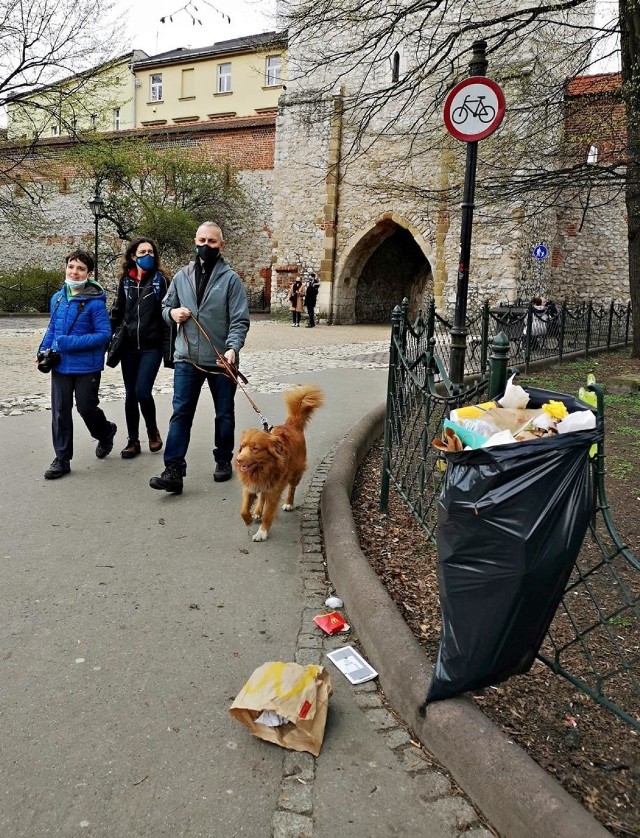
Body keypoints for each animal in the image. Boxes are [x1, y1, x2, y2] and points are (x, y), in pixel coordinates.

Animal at [236, 388, 324, 544]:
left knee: (292, 488)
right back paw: (257, 511)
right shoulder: (250, 486)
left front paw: (262, 532)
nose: (238, 460)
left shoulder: (274, 490)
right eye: (243, 446)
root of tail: (291, 425)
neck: (262, 469)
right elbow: (243, 510)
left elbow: (268, 513)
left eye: (255, 448)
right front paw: (249, 520)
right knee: (262, 496)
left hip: (295, 474)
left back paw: (289, 503)